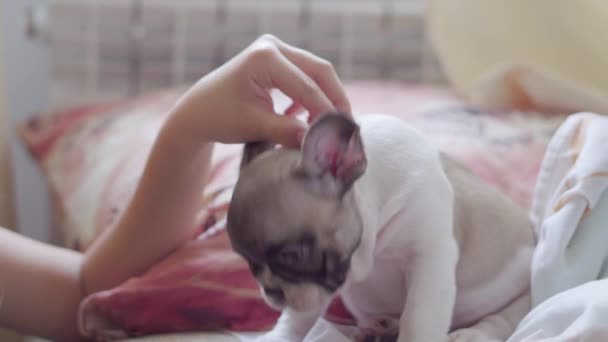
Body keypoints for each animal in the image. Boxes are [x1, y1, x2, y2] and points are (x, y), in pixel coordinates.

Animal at [226, 113, 536, 340]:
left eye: (293, 256)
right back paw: (379, 327)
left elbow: (418, 316)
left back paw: (471, 335)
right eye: (249, 263)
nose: (272, 291)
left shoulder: (429, 257)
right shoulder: (312, 291)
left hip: (520, 300)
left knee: (502, 319)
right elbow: (298, 317)